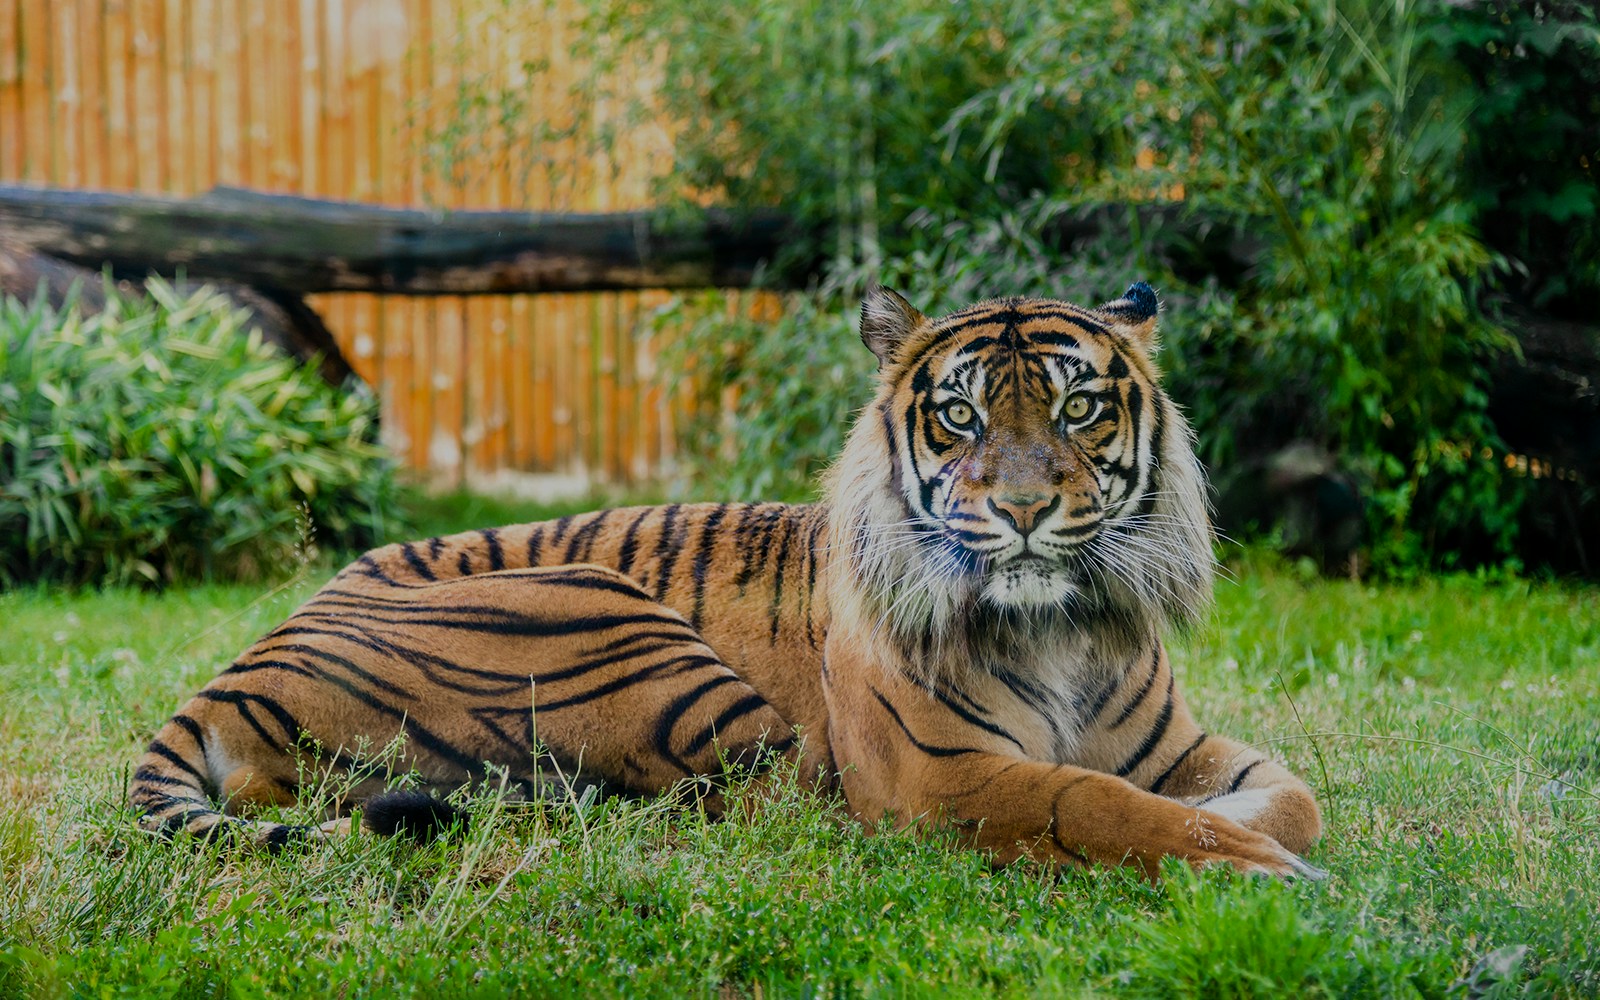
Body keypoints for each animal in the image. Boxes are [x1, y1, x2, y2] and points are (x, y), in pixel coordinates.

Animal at [131, 282, 1324, 879]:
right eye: (959, 415)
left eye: (1079, 409)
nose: (1024, 510)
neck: (1058, 627)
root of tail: (231, 673)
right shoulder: (938, 775)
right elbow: (1089, 798)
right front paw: (1254, 867)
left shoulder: (1173, 747)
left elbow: (1292, 796)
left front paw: (1260, 836)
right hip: (619, 625)